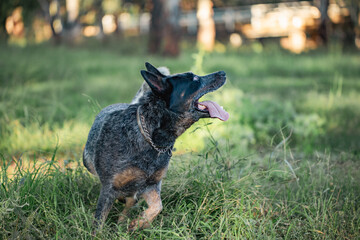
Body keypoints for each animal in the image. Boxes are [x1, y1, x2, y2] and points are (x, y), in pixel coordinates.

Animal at [83, 62, 229, 231]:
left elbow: (157, 206)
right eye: (194, 79)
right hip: (88, 161)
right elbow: (99, 222)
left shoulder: (152, 184)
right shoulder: (109, 187)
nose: (223, 72)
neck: (152, 140)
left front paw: (139, 222)